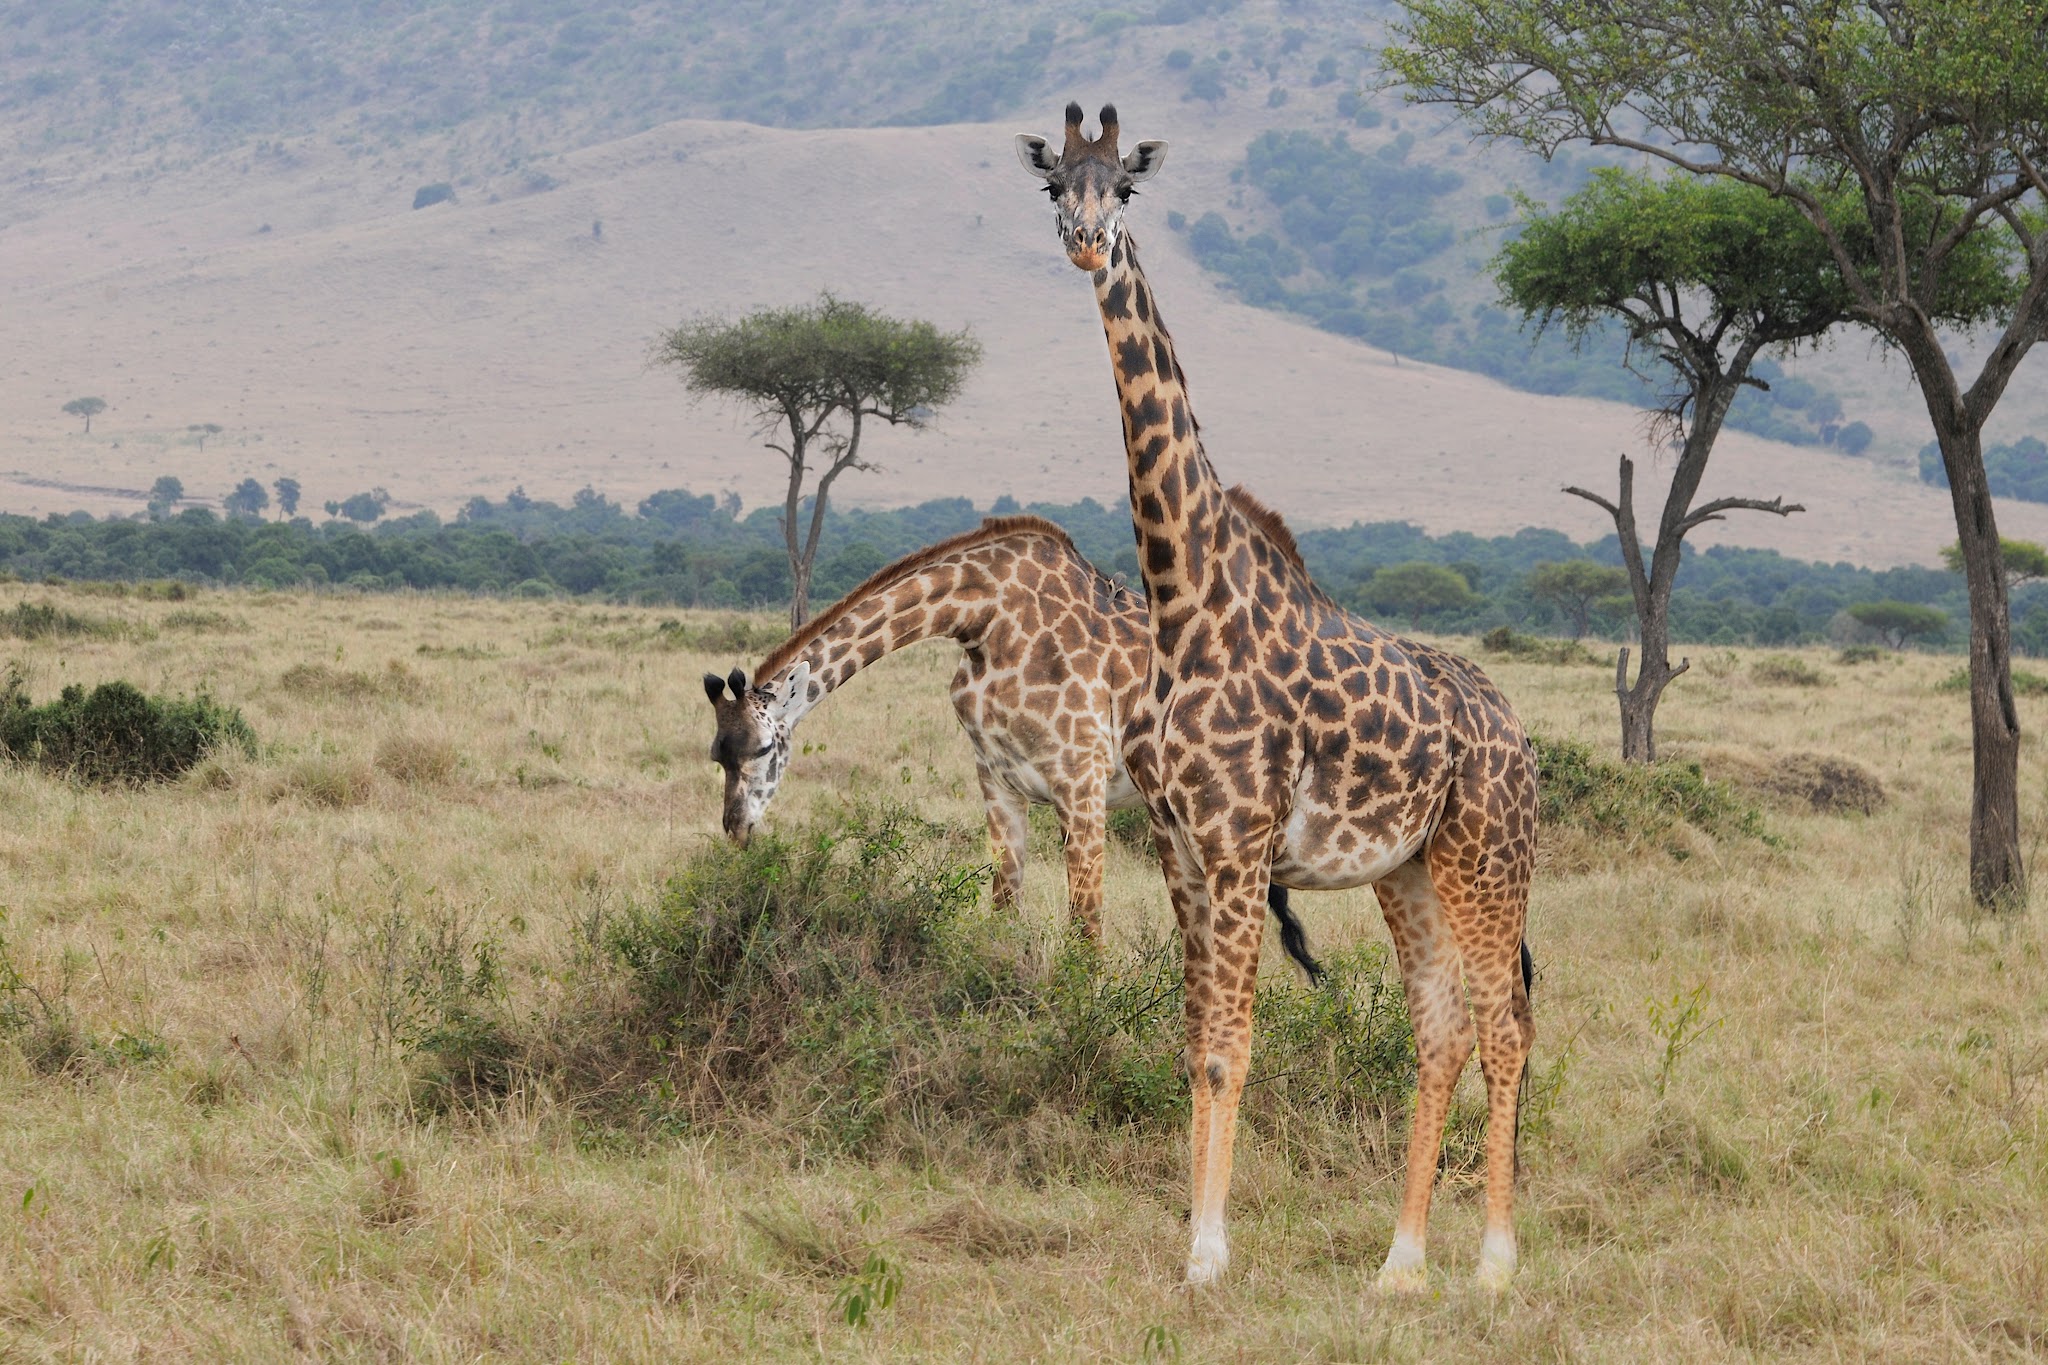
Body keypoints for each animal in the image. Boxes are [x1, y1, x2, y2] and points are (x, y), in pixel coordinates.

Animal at [701, 508, 1322, 969]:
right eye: (717, 755)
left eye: (762, 748)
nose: (736, 829)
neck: (982, 620)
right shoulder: (998, 781)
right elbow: (1003, 907)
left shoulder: (1081, 779)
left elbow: (1087, 930)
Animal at [1016, 103, 1540, 1292]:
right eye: (1054, 183)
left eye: (1125, 187)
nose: (1083, 243)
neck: (1182, 598)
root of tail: (1518, 738)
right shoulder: (1177, 845)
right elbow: (1193, 1046)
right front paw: (1193, 1233)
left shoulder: (1237, 844)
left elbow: (1230, 1048)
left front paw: (1208, 1252)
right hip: (1408, 872)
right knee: (1439, 1030)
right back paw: (1400, 1262)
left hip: (1489, 860)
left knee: (1505, 1028)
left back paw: (1493, 1262)